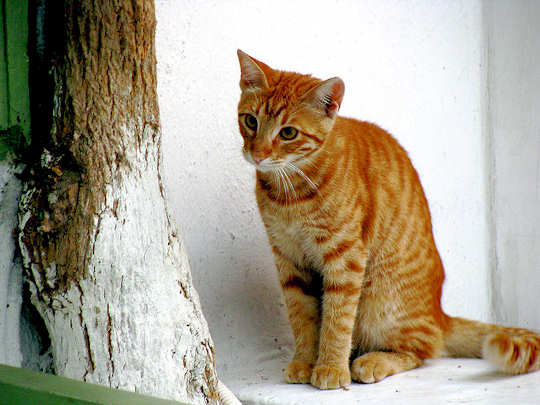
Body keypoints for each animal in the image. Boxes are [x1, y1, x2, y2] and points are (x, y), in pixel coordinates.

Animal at [237, 49, 540, 388]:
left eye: (288, 132)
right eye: (251, 121)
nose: (258, 154)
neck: (290, 193)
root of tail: (440, 313)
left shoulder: (345, 259)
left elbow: (337, 320)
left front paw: (330, 367)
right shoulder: (288, 259)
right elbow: (302, 318)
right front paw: (304, 361)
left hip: (380, 304)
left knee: (423, 348)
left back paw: (374, 361)